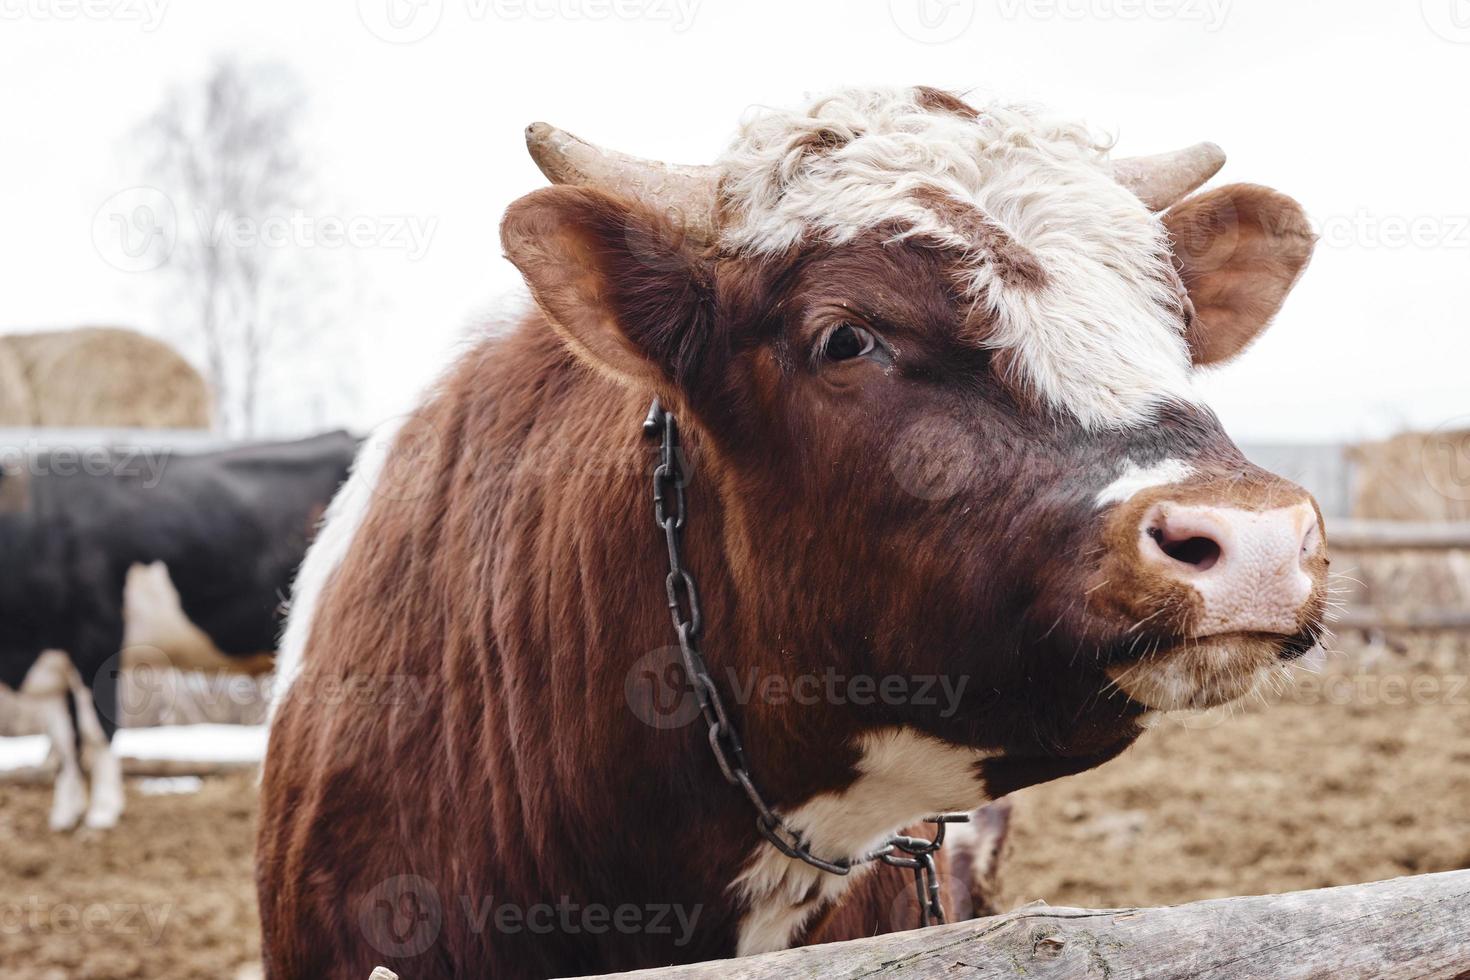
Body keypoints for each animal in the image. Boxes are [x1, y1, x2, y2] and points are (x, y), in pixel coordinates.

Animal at [0, 431, 355, 834]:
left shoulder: (97, 642)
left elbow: (96, 732)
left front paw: (102, 813)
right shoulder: (52, 661)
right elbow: (63, 740)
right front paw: (64, 815)